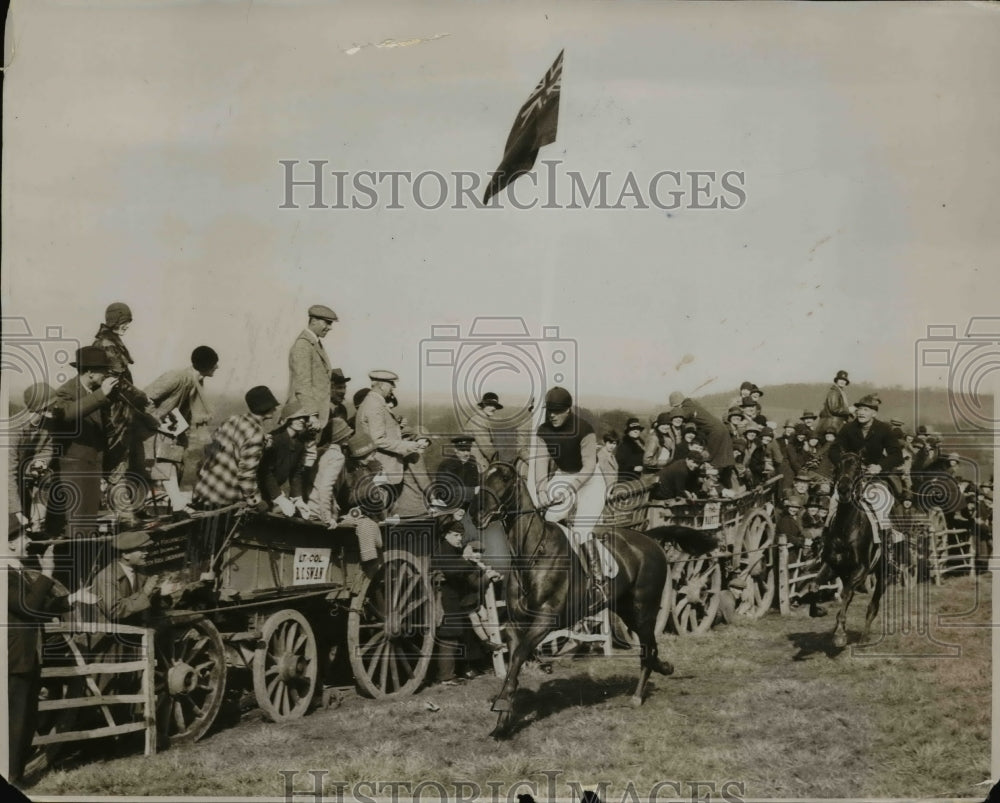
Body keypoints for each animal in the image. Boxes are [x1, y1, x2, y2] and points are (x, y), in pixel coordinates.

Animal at [468, 462, 712, 740]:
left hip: (643, 608)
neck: (531, 555)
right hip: (626, 609)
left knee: (648, 648)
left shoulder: (546, 620)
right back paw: (665, 668)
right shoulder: (516, 624)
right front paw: (502, 723)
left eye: (505, 478)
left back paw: (638, 695)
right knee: (651, 647)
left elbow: (519, 655)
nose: (475, 512)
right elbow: (514, 662)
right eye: (481, 477)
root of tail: (649, 538)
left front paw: (502, 707)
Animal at [808, 452, 888, 648]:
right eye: (837, 467)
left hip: (882, 575)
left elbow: (846, 594)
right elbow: (813, 586)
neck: (847, 528)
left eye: (858, 467)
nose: (844, 489)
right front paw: (818, 611)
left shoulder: (861, 569)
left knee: (872, 605)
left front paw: (839, 634)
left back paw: (864, 637)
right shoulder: (832, 565)